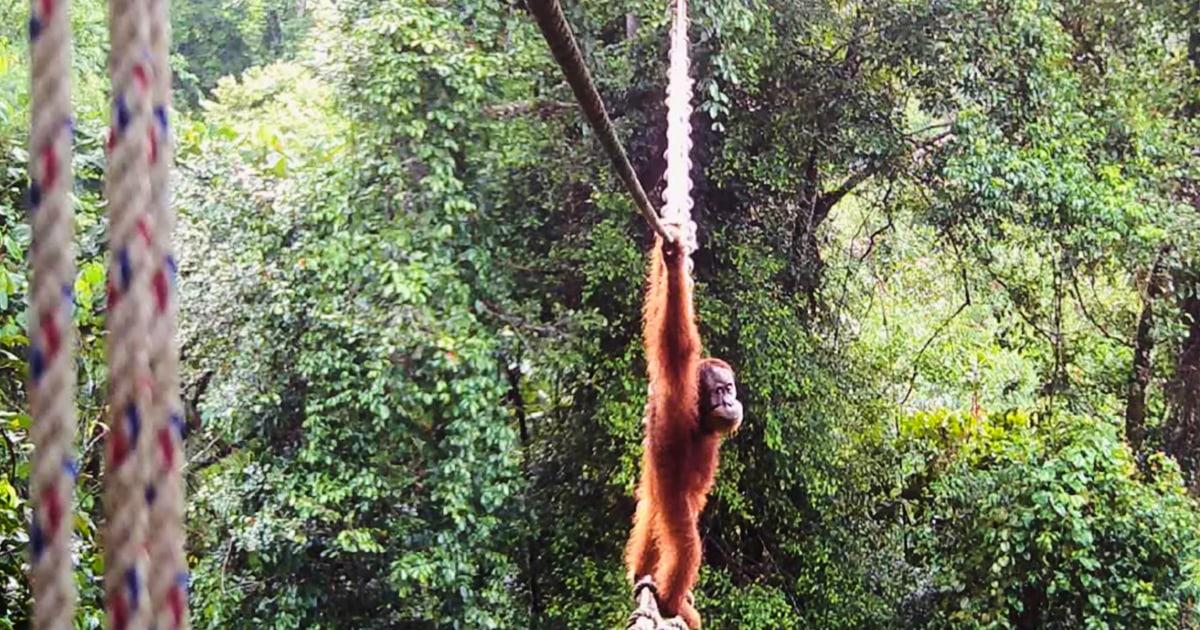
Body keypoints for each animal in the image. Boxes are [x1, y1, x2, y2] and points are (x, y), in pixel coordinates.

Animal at [624, 223, 743, 629]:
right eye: (719, 391)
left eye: (730, 388)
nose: (730, 401)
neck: (701, 419)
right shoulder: (678, 390)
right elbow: (676, 341)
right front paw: (674, 263)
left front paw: (670, 254)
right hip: (671, 500)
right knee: (686, 543)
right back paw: (671, 601)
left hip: (654, 493)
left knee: (649, 520)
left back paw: (642, 577)